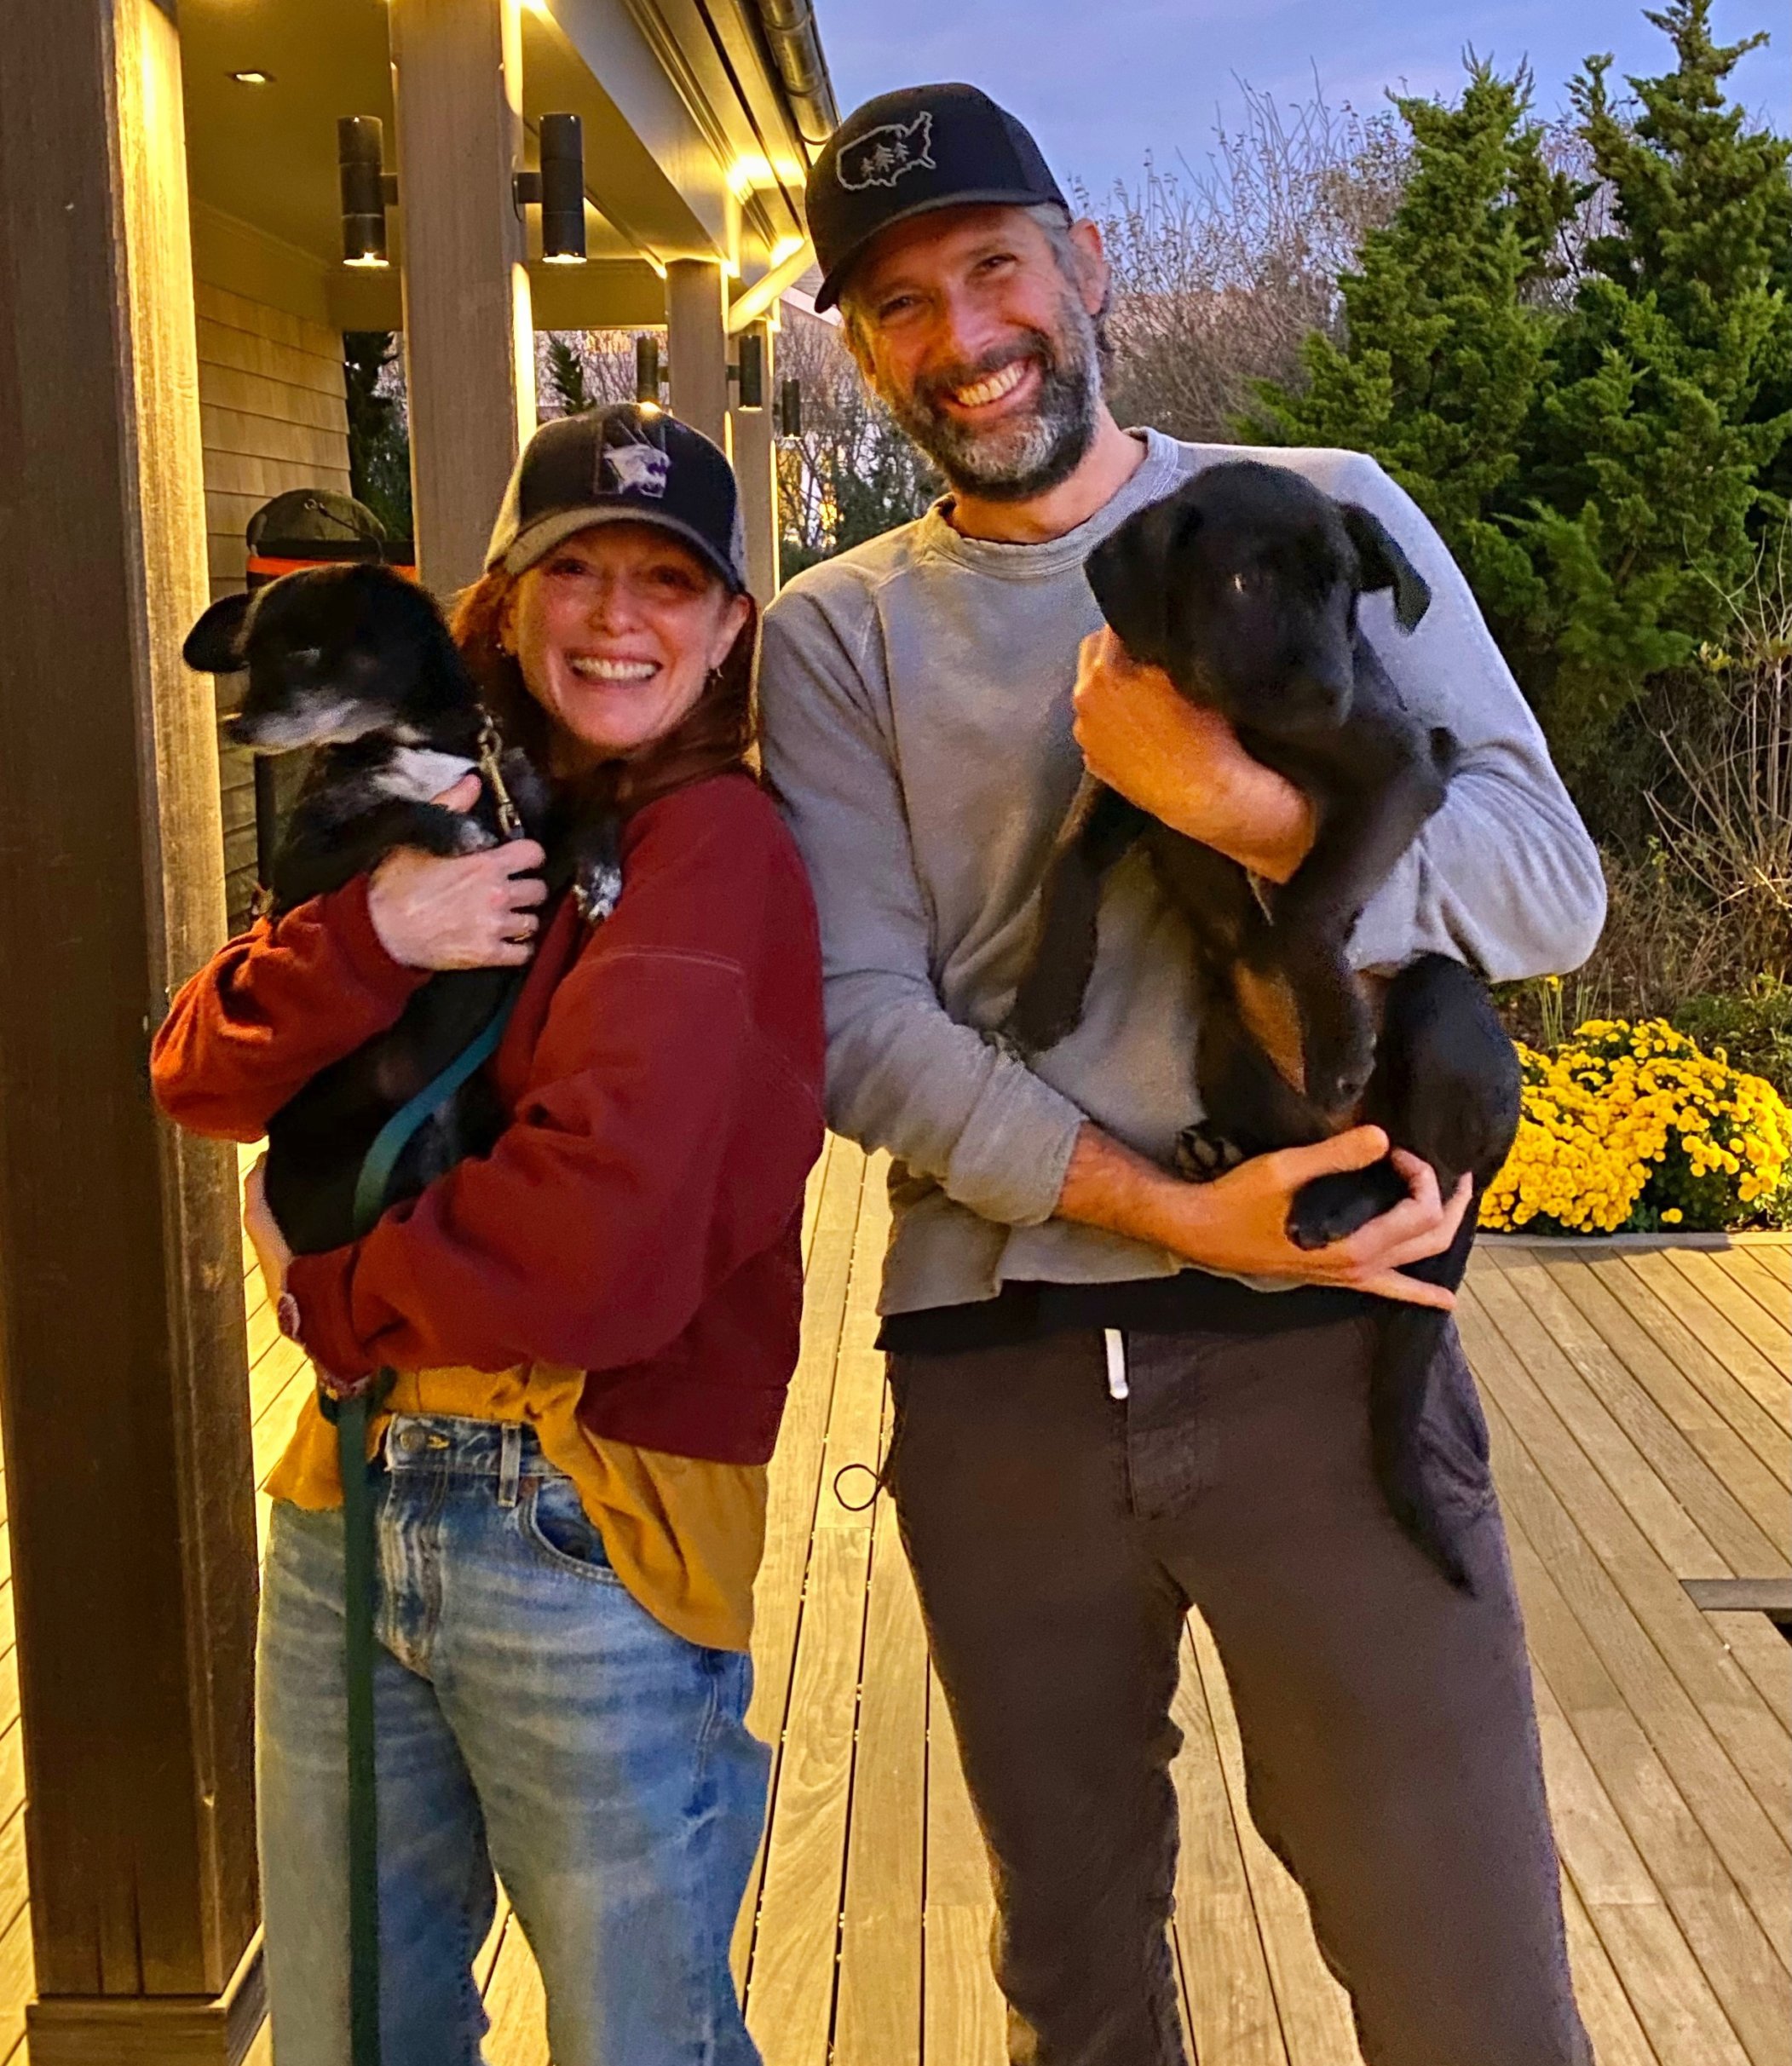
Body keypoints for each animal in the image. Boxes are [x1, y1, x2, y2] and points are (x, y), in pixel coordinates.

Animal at [187, 557, 591, 1247]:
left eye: (303, 652)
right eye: (248, 656)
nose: (233, 727)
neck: (418, 743)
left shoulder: (530, 838)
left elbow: (592, 814)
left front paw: (605, 871)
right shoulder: (297, 867)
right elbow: (391, 811)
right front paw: (455, 830)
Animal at [1000, 469, 1521, 1586]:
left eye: (1345, 590)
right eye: (1245, 581)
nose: (1325, 688)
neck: (1236, 721)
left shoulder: (1398, 768)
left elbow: (1315, 899)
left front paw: (1334, 1029)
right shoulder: (1127, 780)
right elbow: (1071, 854)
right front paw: (1049, 995)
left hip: (1446, 1009)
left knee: (1419, 1168)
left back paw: (1337, 1191)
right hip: (1219, 1039)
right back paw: (1222, 1153)